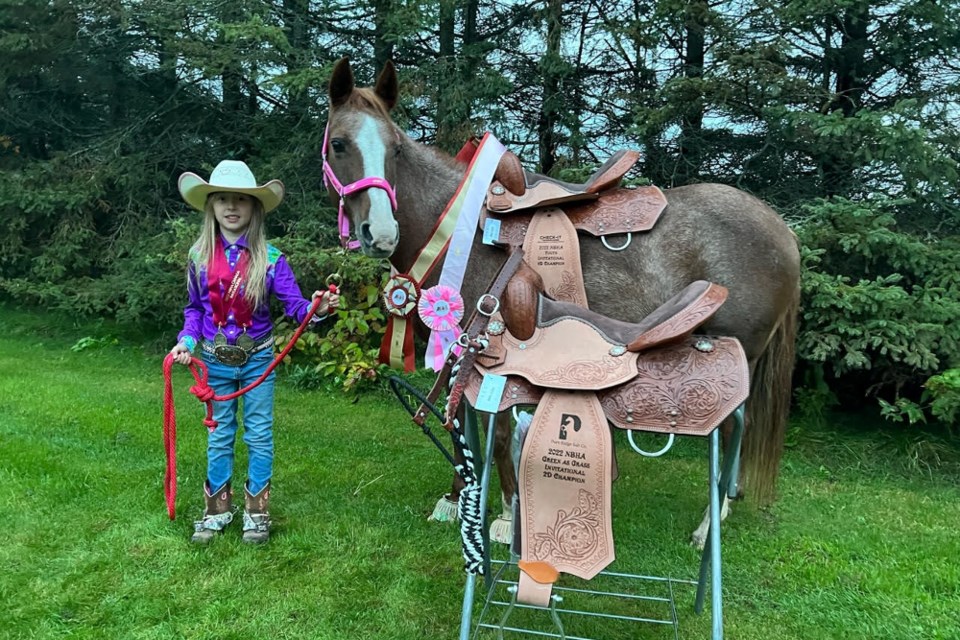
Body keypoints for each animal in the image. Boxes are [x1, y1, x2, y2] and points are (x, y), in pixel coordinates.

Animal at [322, 60, 804, 548]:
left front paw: (503, 517)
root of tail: (783, 229)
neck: (456, 229)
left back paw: (710, 524)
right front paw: (456, 499)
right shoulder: (458, 349)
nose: (380, 233)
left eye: (395, 149)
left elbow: (493, 433)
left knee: (732, 427)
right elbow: (462, 429)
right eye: (340, 143)